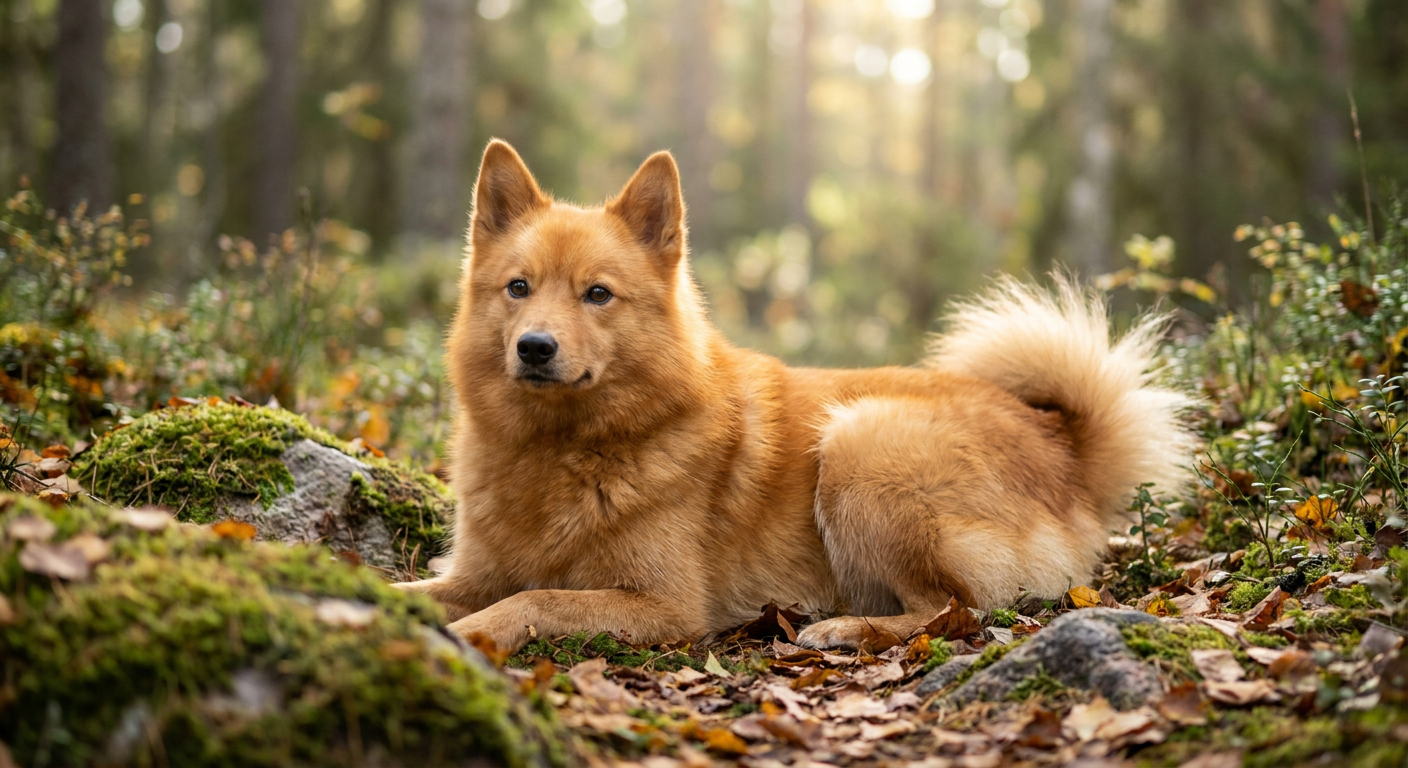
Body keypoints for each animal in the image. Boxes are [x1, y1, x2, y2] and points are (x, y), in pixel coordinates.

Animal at [391, 139, 1195, 653]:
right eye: (518, 288)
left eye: (597, 295)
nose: (534, 347)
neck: (559, 449)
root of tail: (1064, 448)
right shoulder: (473, 573)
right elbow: (413, 586)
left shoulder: (664, 606)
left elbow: (533, 598)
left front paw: (464, 634)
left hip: (861, 447)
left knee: (951, 610)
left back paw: (843, 628)